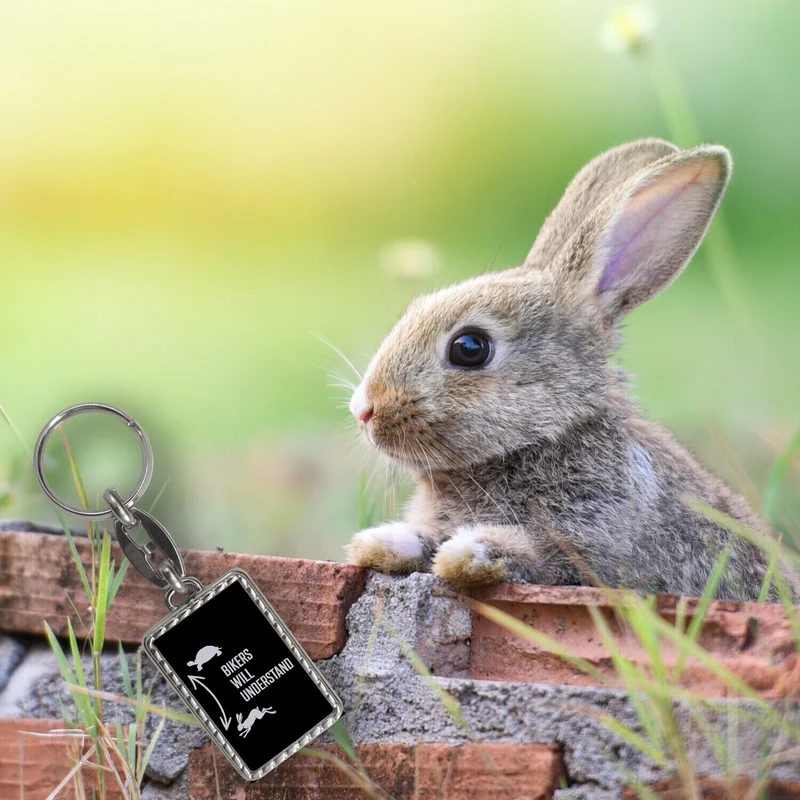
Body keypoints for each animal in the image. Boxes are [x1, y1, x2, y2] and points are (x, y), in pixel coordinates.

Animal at [345, 138, 781, 601]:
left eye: (470, 348)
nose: (363, 410)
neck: (546, 436)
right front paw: (381, 542)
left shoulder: (590, 543)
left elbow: (535, 554)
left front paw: (469, 553)